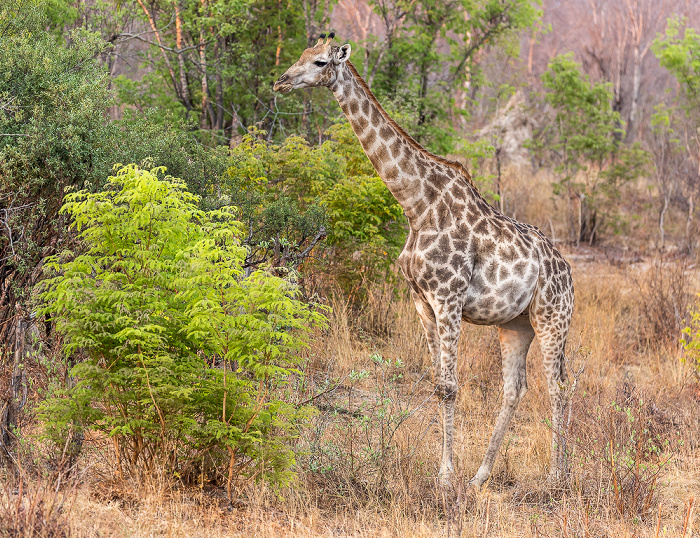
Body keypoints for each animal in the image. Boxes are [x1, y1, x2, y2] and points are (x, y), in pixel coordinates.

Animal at [274, 33, 576, 486]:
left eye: (320, 62)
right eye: (300, 56)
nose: (282, 81)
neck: (416, 205)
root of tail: (569, 273)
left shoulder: (448, 299)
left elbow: (450, 387)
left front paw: (446, 477)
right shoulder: (421, 301)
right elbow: (437, 384)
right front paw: (450, 473)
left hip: (551, 317)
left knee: (558, 386)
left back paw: (558, 476)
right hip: (515, 324)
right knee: (515, 387)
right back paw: (482, 475)